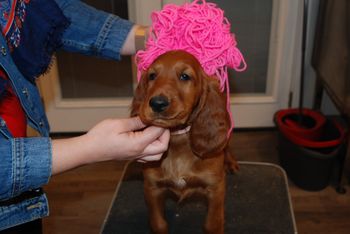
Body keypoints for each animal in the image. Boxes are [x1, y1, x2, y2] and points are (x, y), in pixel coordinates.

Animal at [131, 50, 238, 233]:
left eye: (184, 76)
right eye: (152, 76)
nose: (157, 103)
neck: (178, 140)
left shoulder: (216, 188)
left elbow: (212, 224)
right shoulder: (152, 188)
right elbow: (158, 224)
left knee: (227, 145)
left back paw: (230, 162)